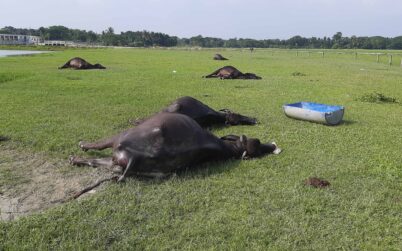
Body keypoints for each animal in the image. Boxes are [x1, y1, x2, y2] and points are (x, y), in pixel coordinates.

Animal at [70, 112, 282, 182]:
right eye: (257, 143)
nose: (274, 146)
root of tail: (133, 158)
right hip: (120, 162)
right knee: (95, 162)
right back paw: (76, 159)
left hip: (120, 139)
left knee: (96, 149)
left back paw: (78, 152)